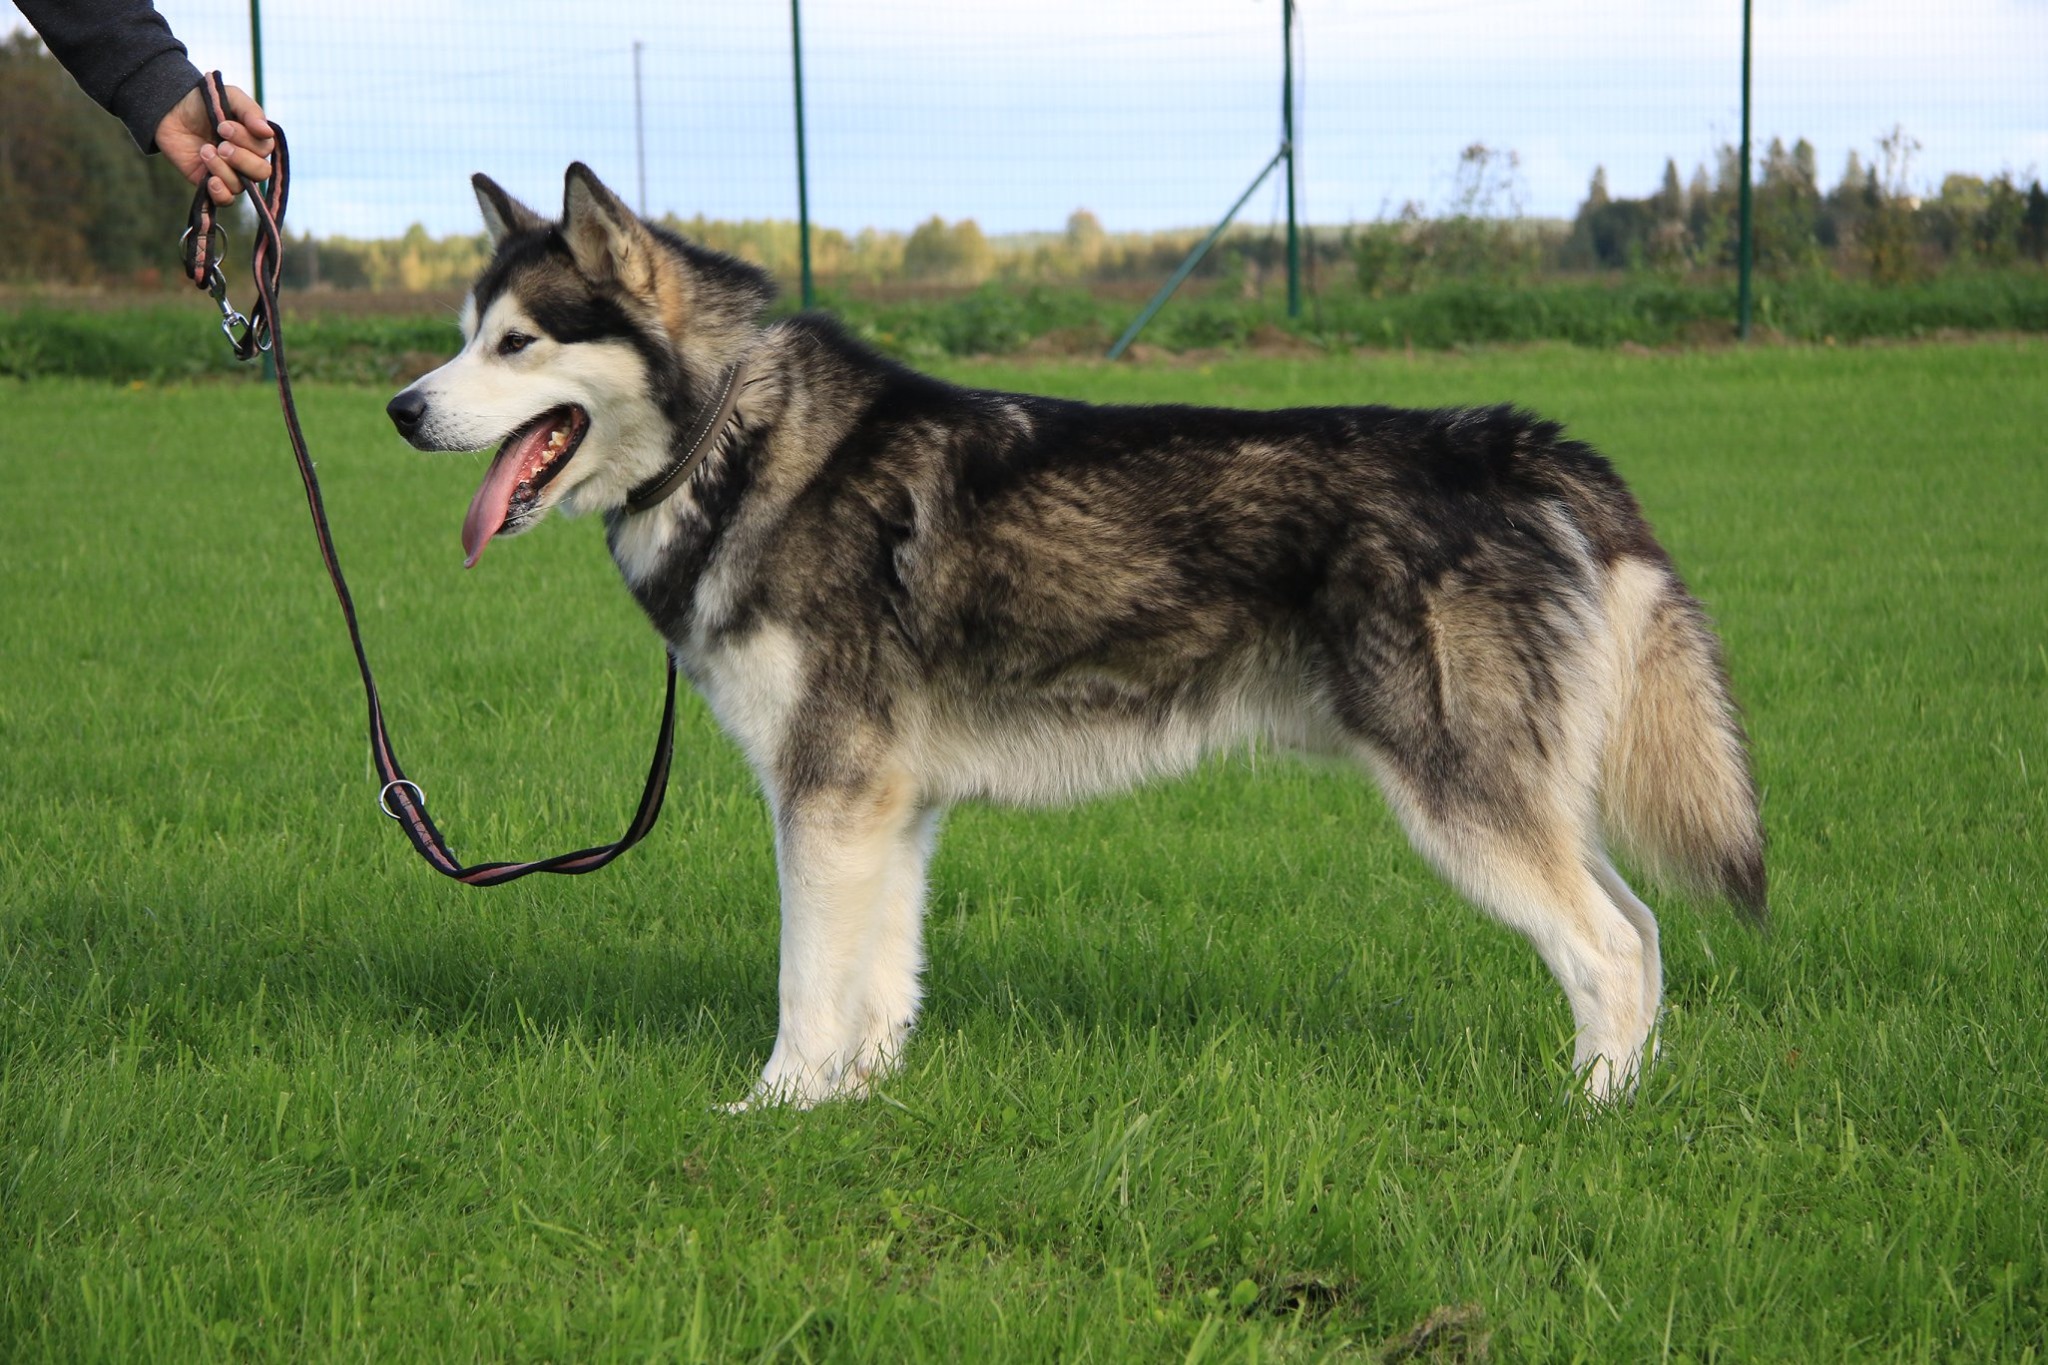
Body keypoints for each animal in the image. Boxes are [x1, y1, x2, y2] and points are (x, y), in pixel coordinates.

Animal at [386, 164, 1765, 1108]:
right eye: (460, 338)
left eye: (515, 343)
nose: (400, 410)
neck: (737, 432)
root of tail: (1516, 443)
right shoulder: (887, 809)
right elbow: (877, 982)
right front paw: (854, 1104)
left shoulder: (824, 793)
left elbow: (802, 983)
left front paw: (769, 1107)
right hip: (1520, 792)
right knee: (1641, 934)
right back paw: (1629, 1092)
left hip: (1460, 795)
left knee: (1605, 948)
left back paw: (1586, 1113)